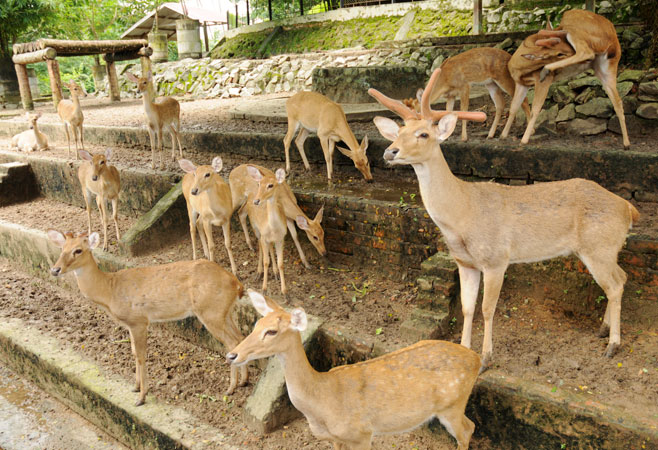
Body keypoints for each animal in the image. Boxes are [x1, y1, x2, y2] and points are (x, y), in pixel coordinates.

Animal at [46, 230, 246, 406]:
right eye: (62, 248)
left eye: (78, 250)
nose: (55, 269)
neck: (109, 290)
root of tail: (237, 284)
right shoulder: (129, 324)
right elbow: (134, 352)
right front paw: (135, 387)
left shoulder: (139, 321)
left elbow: (141, 356)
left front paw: (141, 397)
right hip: (224, 312)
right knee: (239, 338)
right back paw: (243, 381)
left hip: (210, 311)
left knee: (230, 343)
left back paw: (230, 388)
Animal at [228, 292, 480, 450]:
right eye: (256, 325)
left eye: (271, 331)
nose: (232, 355)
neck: (322, 402)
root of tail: (476, 359)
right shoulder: (335, 439)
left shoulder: (362, 434)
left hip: (452, 404)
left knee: (468, 430)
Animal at [245, 165, 288, 296]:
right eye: (260, 184)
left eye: (271, 185)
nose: (256, 201)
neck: (273, 229)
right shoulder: (264, 236)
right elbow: (265, 261)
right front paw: (264, 289)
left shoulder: (281, 238)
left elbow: (281, 263)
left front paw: (285, 292)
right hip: (255, 227)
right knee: (260, 245)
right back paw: (258, 273)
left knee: (269, 248)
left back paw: (275, 273)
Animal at [372, 68, 640, 370]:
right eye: (398, 132)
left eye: (424, 134)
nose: (390, 151)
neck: (463, 213)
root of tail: (628, 208)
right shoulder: (465, 263)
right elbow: (467, 308)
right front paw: (464, 350)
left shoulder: (496, 258)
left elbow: (488, 309)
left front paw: (486, 358)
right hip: (603, 249)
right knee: (621, 278)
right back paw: (603, 330)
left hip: (599, 246)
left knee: (615, 284)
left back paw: (613, 345)